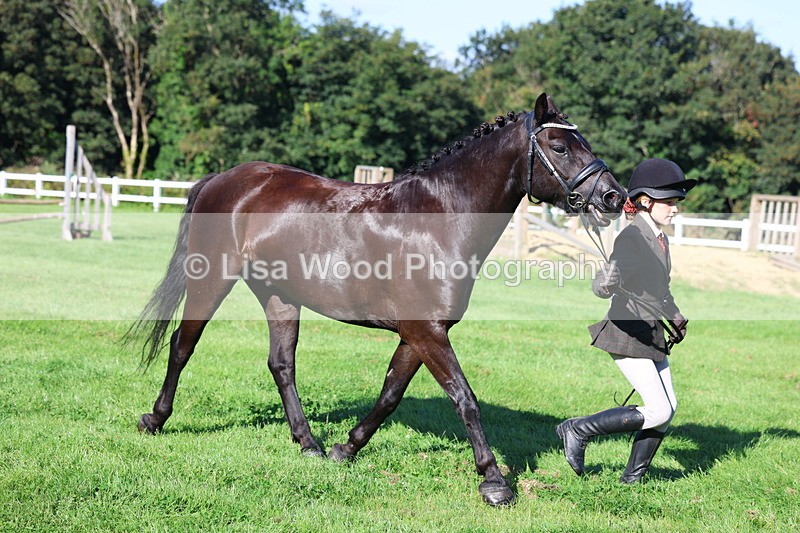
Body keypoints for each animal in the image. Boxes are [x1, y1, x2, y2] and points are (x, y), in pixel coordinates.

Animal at [129, 93, 626, 506]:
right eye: (560, 147)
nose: (612, 196)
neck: (438, 220)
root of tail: (225, 178)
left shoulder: (419, 334)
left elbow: (390, 394)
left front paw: (344, 448)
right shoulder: (426, 333)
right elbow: (464, 397)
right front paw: (494, 481)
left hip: (280, 296)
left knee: (281, 365)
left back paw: (308, 443)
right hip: (212, 281)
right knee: (182, 346)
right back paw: (155, 419)